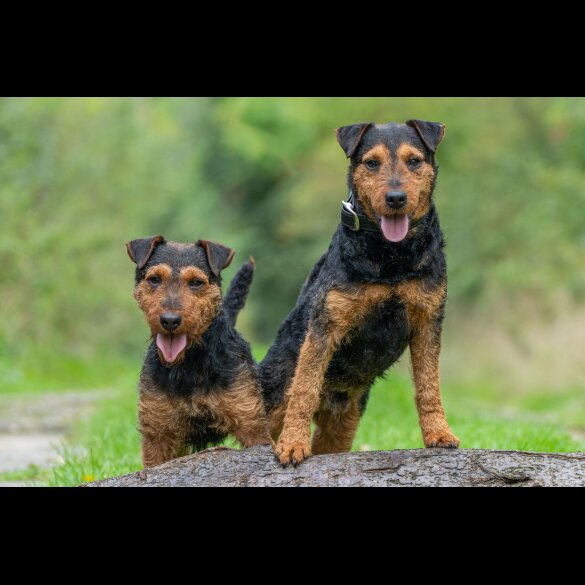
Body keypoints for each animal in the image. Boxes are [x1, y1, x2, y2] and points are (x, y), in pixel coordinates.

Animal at [126, 235, 268, 468]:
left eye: (196, 282)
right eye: (154, 279)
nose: (170, 320)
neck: (188, 365)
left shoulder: (251, 424)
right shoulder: (158, 435)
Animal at [262, 118, 460, 466]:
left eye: (414, 161)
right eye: (371, 162)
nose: (395, 198)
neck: (391, 257)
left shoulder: (427, 320)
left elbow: (429, 385)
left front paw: (439, 434)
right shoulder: (326, 326)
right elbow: (304, 388)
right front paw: (292, 445)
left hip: (344, 421)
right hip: (269, 407)